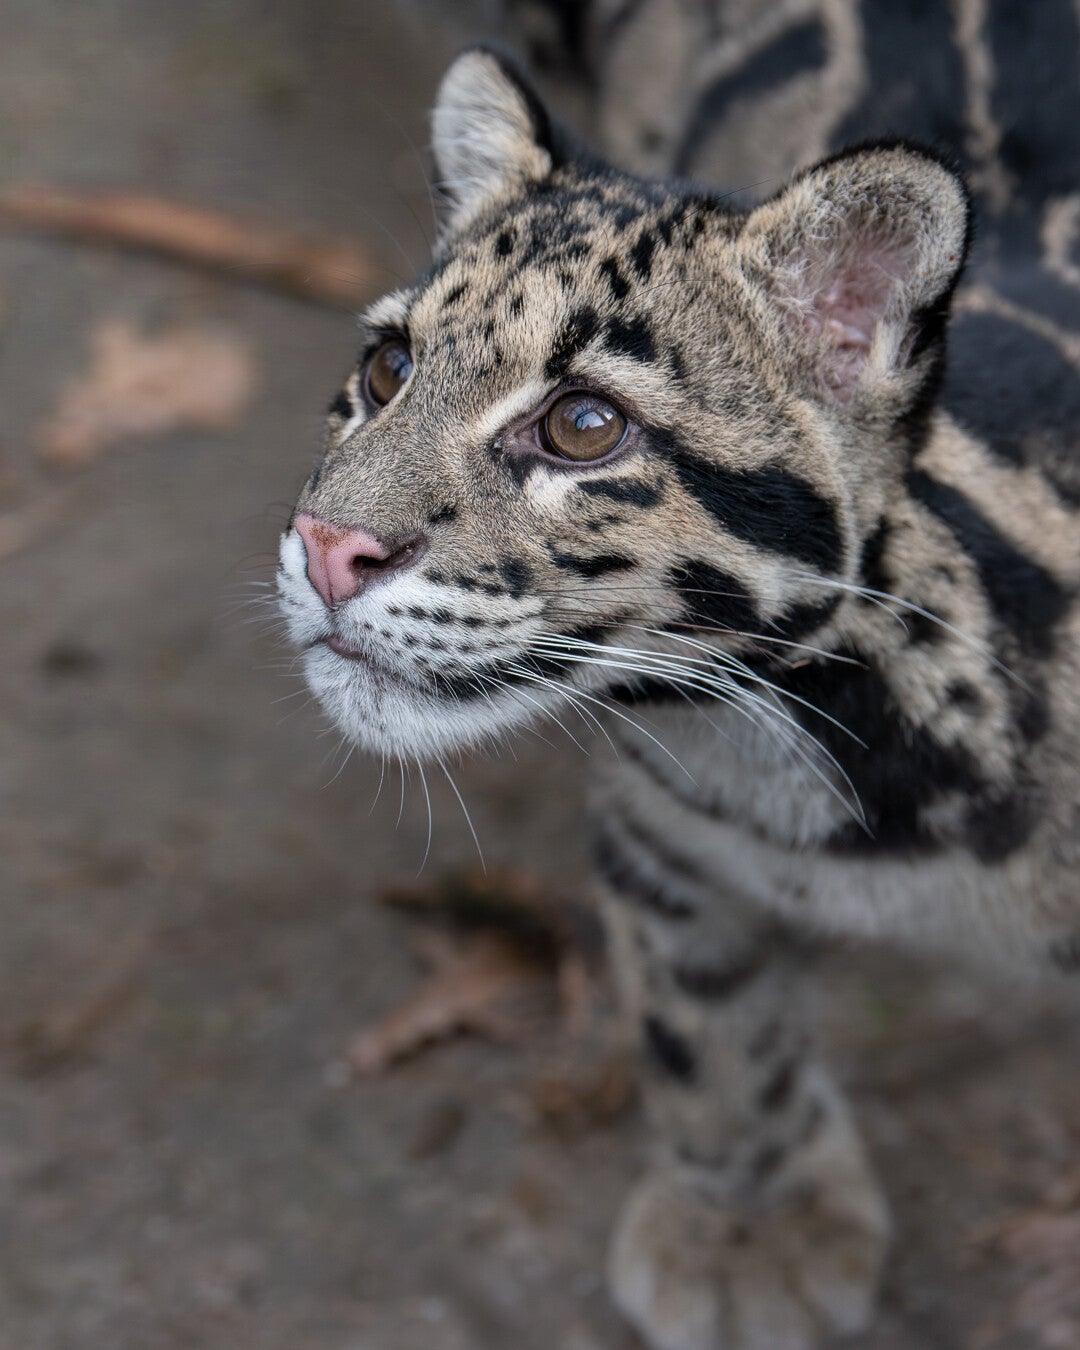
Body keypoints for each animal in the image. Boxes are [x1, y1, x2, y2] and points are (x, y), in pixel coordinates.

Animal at [276, 7, 1080, 1346]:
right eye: (388, 368)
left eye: (584, 426)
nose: (328, 545)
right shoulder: (663, 840)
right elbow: (706, 1032)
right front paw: (745, 1223)